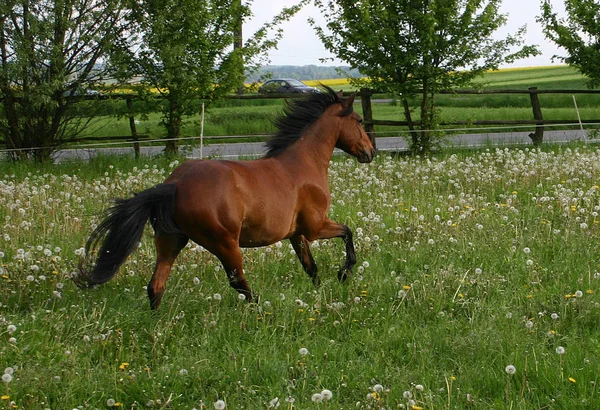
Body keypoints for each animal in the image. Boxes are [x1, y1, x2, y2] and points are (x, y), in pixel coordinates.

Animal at [75, 86, 376, 308]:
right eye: (359, 121)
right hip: (225, 243)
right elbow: (348, 232)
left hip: (170, 241)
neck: (304, 162)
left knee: (155, 286)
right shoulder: (315, 227)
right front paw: (344, 273)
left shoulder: (297, 234)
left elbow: (310, 267)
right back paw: (260, 310)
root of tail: (174, 184)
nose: (370, 152)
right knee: (238, 283)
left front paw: (321, 292)